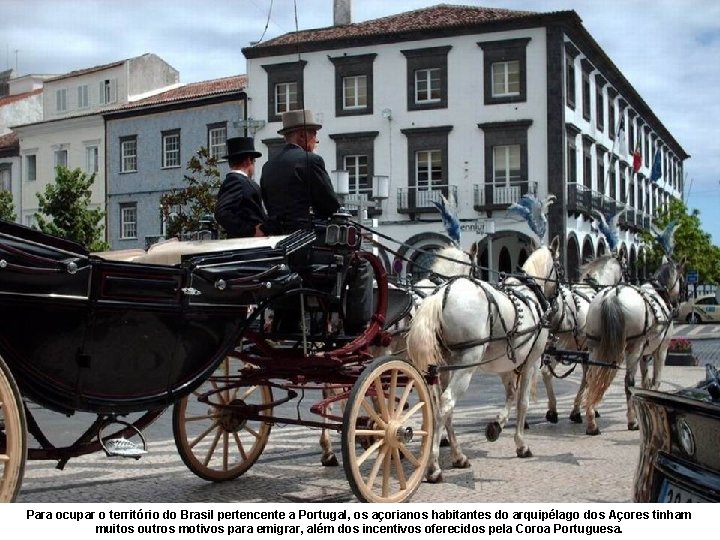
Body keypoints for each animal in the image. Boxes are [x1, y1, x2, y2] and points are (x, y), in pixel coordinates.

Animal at [408, 237, 560, 480]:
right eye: (560, 267)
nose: (557, 300)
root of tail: (442, 293)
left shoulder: (506, 364)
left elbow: (511, 394)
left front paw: (496, 426)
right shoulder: (532, 361)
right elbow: (522, 401)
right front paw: (521, 444)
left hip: (444, 366)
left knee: (441, 406)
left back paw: (457, 455)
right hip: (465, 364)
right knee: (446, 403)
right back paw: (433, 465)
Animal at [584, 255, 684, 436]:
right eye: (682, 279)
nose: (677, 305)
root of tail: (612, 296)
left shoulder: (645, 354)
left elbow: (645, 381)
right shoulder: (661, 350)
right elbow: (655, 380)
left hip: (594, 346)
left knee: (591, 378)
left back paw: (591, 422)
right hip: (634, 348)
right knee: (628, 382)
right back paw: (631, 421)